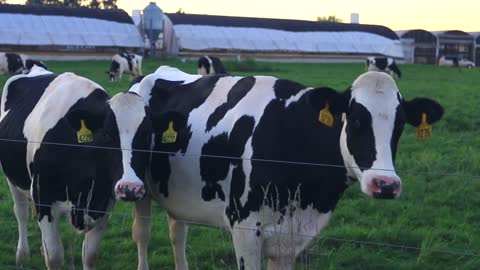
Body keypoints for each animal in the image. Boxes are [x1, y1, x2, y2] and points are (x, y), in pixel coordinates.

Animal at [0, 66, 153, 270]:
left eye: (147, 135)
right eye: (106, 134)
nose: (130, 188)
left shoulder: (103, 203)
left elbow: (89, 255)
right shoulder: (44, 197)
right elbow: (54, 257)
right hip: (13, 179)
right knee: (21, 212)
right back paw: (22, 255)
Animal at [127, 66, 442, 270]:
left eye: (400, 125)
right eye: (354, 120)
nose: (385, 185)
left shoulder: (292, 236)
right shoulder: (244, 228)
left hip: (178, 195)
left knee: (177, 233)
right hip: (138, 188)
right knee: (142, 234)